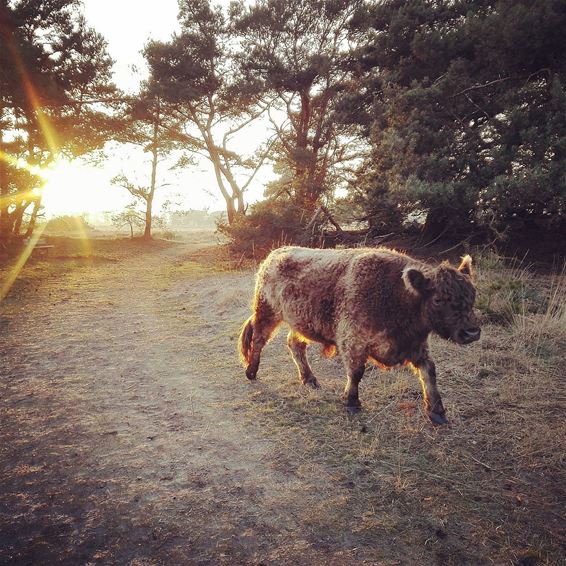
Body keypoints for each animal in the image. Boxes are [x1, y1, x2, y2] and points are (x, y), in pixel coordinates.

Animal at [237, 246, 482, 424]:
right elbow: (356, 373)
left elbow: (429, 371)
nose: (472, 331)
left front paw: (437, 411)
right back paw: (251, 371)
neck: (397, 295)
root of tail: (274, 254)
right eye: (438, 299)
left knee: (295, 345)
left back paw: (310, 379)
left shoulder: (417, 346)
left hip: (300, 323)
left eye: (472, 293)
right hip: (267, 313)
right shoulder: (353, 342)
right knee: (258, 340)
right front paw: (352, 402)